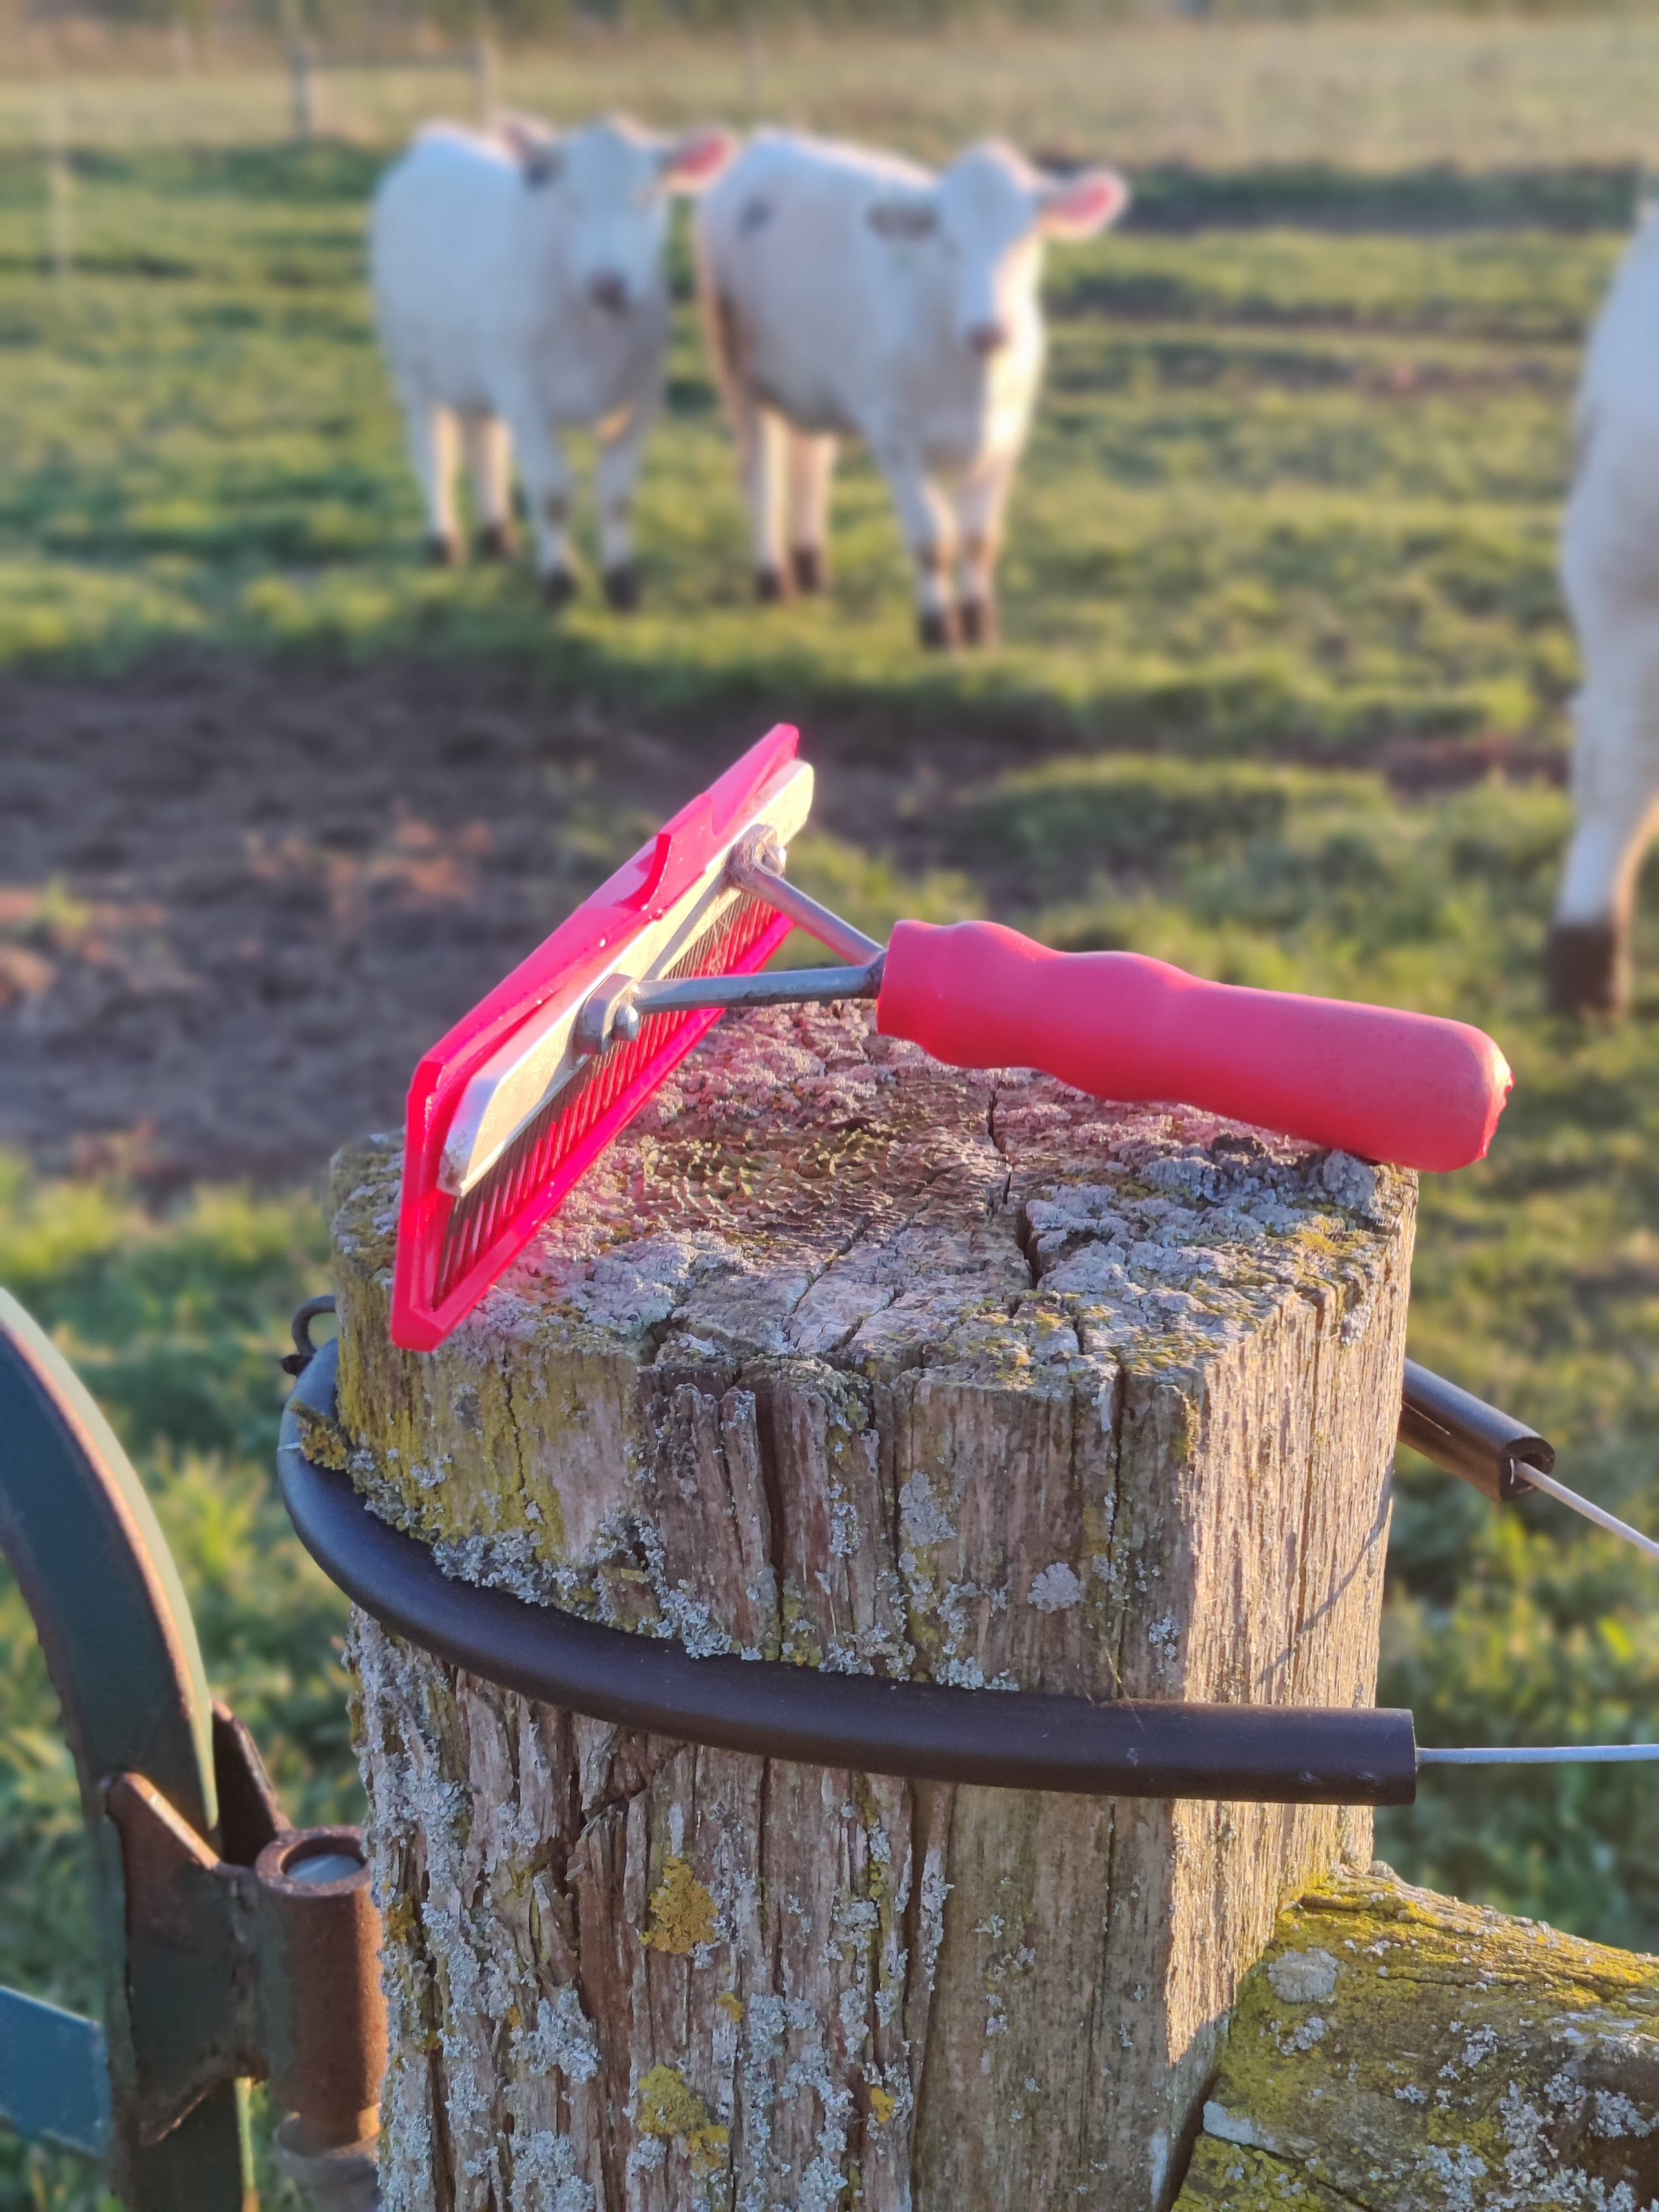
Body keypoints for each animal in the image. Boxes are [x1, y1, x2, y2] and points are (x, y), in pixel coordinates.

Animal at [371, 113, 735, 610]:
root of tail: (438, 138)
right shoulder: (525, 396)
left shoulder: (639, 398)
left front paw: (622, 582)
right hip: (411, 367)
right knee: (434, 455)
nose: (608, 282)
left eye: (647, 196)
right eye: (572, 198)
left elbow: (618, 496)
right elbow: (553, 494)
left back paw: (497, 538)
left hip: (476, 371)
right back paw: (443, 543)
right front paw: (560, 581)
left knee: (484, 445)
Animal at [695, 131, 1129, 648]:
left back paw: (812, 569)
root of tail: (770, 140)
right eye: (947, 241)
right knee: (760, 477)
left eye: (1026, 240)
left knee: (809, 467)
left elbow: (980, 540)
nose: (988, 332)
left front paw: (980, 623)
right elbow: (931, 539)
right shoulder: (895, 436)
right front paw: (938, 628)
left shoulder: (1007, 439)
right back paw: (773, 580)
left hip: (814, 384)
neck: (971, 379)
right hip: (738, 372)